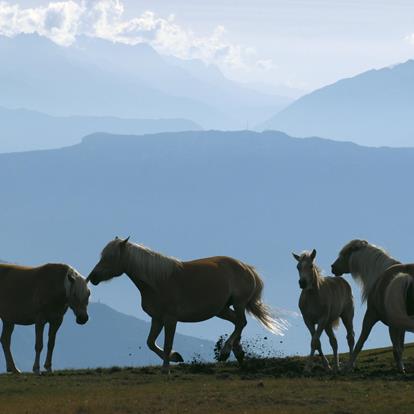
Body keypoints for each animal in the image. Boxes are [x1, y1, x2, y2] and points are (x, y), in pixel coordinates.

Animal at [86, 238, 284, 370]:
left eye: (111, 257)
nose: (93, 277)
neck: (158, 281)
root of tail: (246, 267)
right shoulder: (157, 319)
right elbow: (150, 343)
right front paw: (175, 357)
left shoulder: (170, 319)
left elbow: (166, 344)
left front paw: (166, 369)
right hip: (222, 309)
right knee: (238, 323)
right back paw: (237, 353)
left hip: (238, 303)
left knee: (241, 322)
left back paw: (226, 352)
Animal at [332, 239, 414, 372]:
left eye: (344, 254)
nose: (333, 267)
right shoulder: (399, 324)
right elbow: (399, 346)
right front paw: (401, 367)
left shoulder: (371, 315)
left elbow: (361, 341)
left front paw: (349, 366)